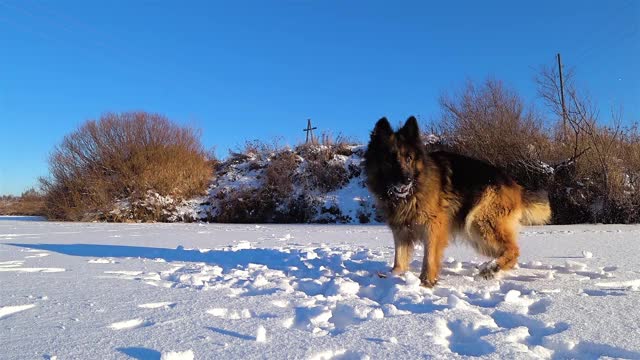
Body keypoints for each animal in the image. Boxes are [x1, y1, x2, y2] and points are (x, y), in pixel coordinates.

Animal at [364, 116, 552, 288]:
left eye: (409, 158)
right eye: (389, 160)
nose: (406, 180)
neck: (414, 190)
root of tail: (515, 185)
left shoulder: (433, 226)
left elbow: (429, 256)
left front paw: (426, 283)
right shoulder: (401, 230)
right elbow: (400, 258)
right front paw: (393, 276)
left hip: (479, 223)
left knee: (514, 250)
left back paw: (492, 269)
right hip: (477, 234)